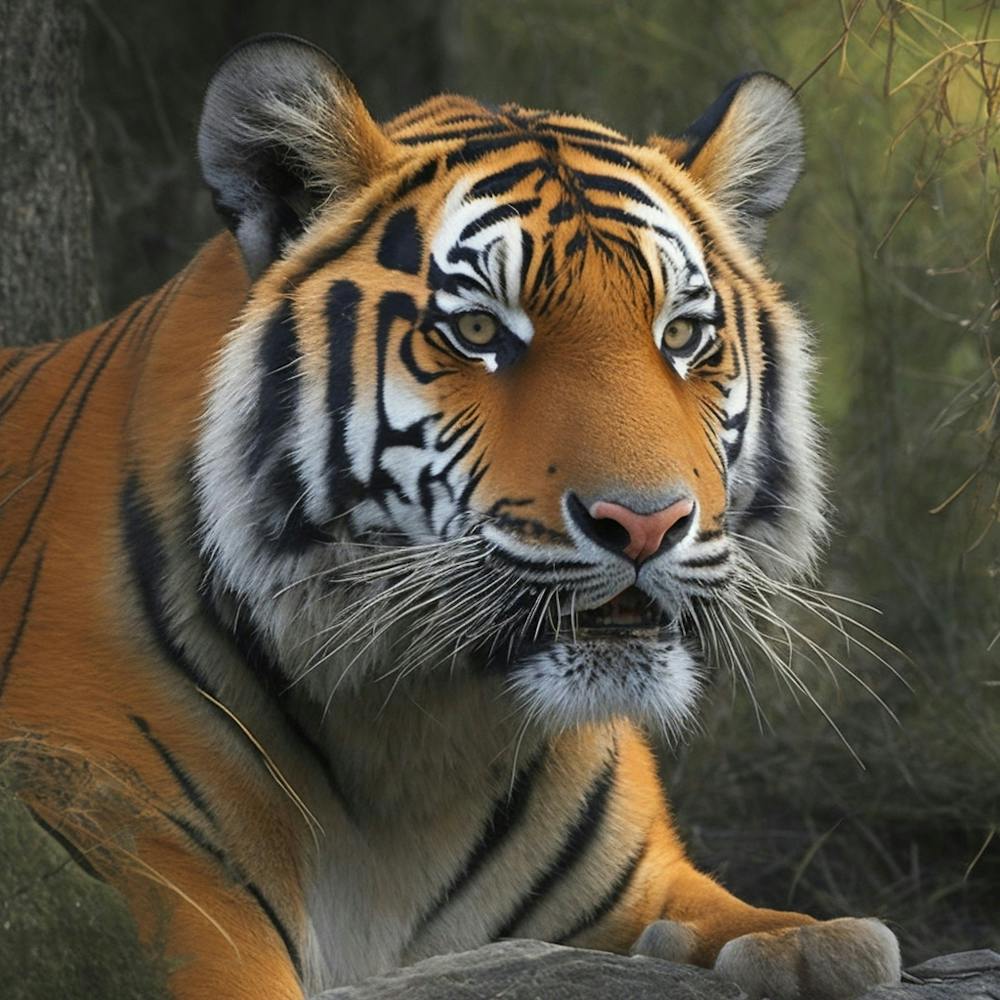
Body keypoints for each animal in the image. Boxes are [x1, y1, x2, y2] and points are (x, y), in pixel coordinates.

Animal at [0, 33, 901, 1000]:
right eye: (478, 333)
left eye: (682, 336)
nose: (647, 526)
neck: (420, 739)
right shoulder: (163, 897)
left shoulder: (641, 883)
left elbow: (746, 919)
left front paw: (815, 945)